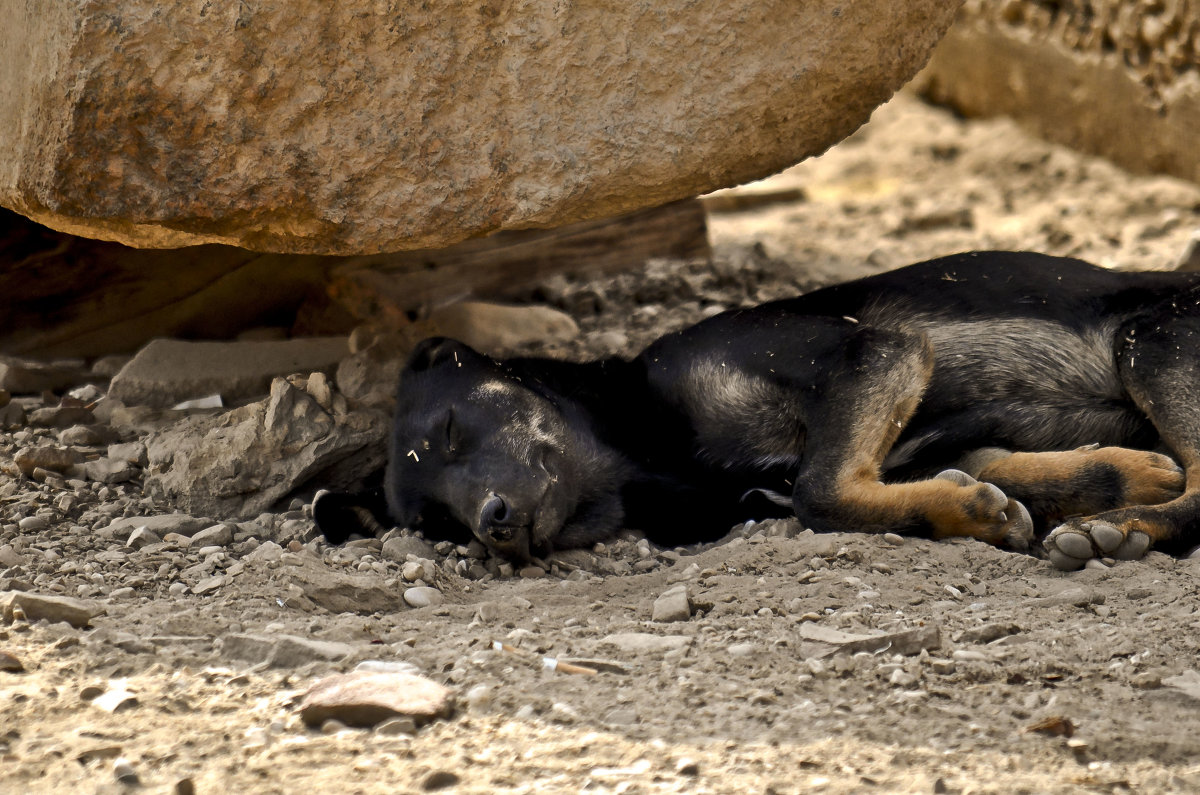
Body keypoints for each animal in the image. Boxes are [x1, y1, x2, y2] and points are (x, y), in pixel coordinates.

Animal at [316, 252, 1200, 569]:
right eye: (435, 522)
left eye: (453, 429)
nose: (491, 523)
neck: (654, 443)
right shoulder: (927, 434)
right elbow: (1013, 468)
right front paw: (1112, 473)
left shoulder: (876, 352)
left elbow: (819, 491)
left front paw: (979, 510)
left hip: (1151, 339)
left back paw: (1126, 531)